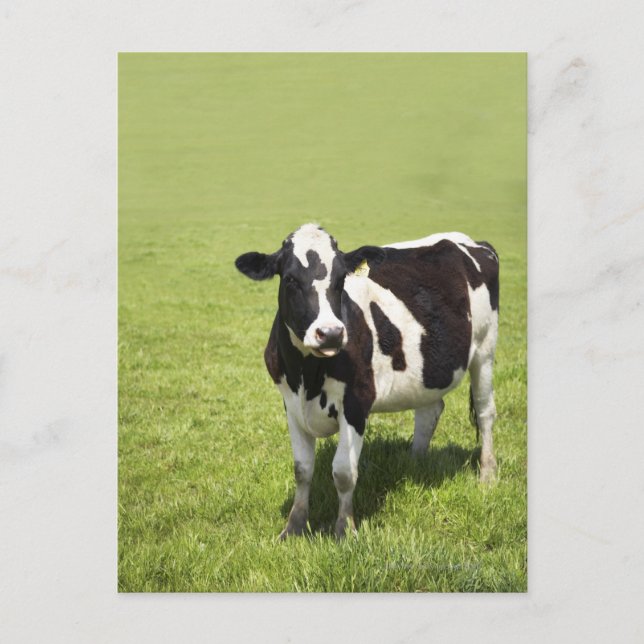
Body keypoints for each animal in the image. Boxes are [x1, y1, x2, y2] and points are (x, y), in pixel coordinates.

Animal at [235, 224, 499, 539]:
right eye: (289, 279)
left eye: (341, 280)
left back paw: (487, 475)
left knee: (484, 412)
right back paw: (414, 464)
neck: (308, 375)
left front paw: (345, 530)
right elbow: (302, 469)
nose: (331, 333)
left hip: (484, 349)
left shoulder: (356, 402)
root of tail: (470, 240)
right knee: (430, 411)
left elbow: (343, 472)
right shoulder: (290, 402)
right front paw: (294, 527)